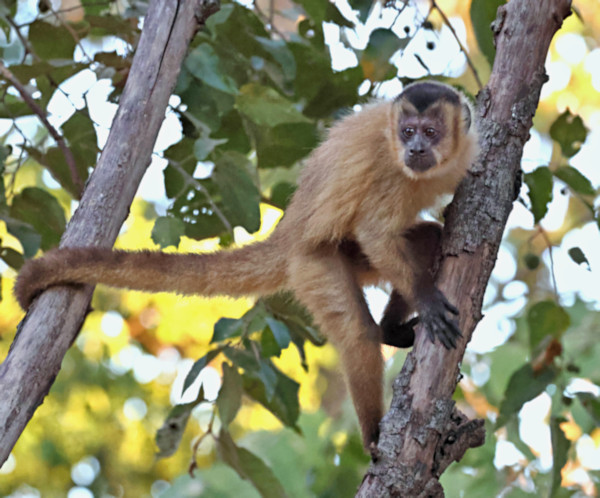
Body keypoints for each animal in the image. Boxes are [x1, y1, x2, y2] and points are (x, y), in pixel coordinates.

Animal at [15, 80, 478, 454]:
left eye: (431, 132)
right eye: (407, 132)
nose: (415, 149)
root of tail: (286, 234)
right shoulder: (390, 173)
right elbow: (375, 233)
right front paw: (427, 301)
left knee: (427, 241)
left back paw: (391, 329)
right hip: (312, 264)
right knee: (357, 331)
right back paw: (375, 436)